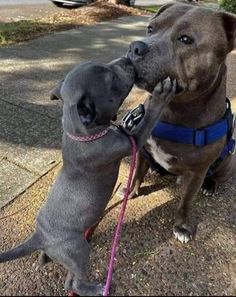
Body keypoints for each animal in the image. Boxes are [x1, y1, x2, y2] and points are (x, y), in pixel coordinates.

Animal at [0, 56, 176, 294]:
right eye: (110, 78)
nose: (127, 58)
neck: (83, 133)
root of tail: (40, 236)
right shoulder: (132, 141)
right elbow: (148, 120)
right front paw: (160, 95)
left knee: (51, 262)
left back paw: (45, 258)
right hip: (78, 251)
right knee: (71, 283)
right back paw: (96, 289)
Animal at [127, 1, 236, 243]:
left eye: (186, 39)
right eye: (150, 29)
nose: (135, 47)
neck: (172, 110)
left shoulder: (197, 172)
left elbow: (186, 202)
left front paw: (182, 227)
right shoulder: (142, 150)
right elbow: (136, 174)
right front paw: (130, 191)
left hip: (228, 162)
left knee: (216, 176)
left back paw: (210, 186)